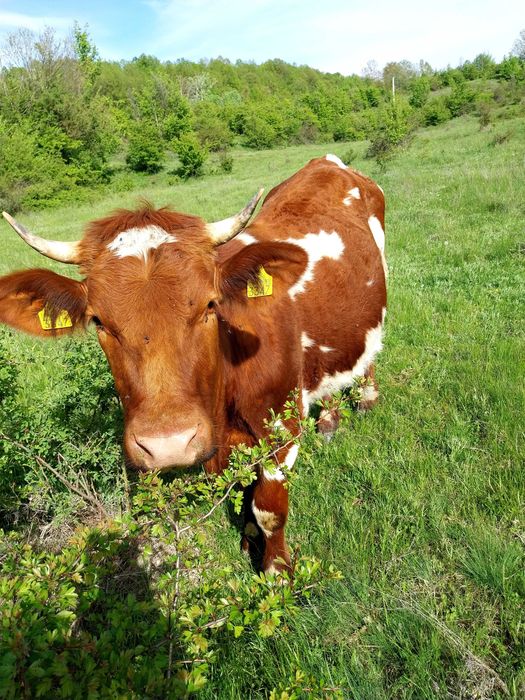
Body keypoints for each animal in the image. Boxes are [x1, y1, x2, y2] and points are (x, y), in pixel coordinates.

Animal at [0, 155, 387, 574]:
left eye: (210, 304)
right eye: (98, 320)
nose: (167, 445)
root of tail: (326, 162)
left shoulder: (280, 427)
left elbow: (268, 509)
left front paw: (276, 571)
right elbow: (241, 494)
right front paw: (248, 542)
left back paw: (366, 399)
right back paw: (330, 419)